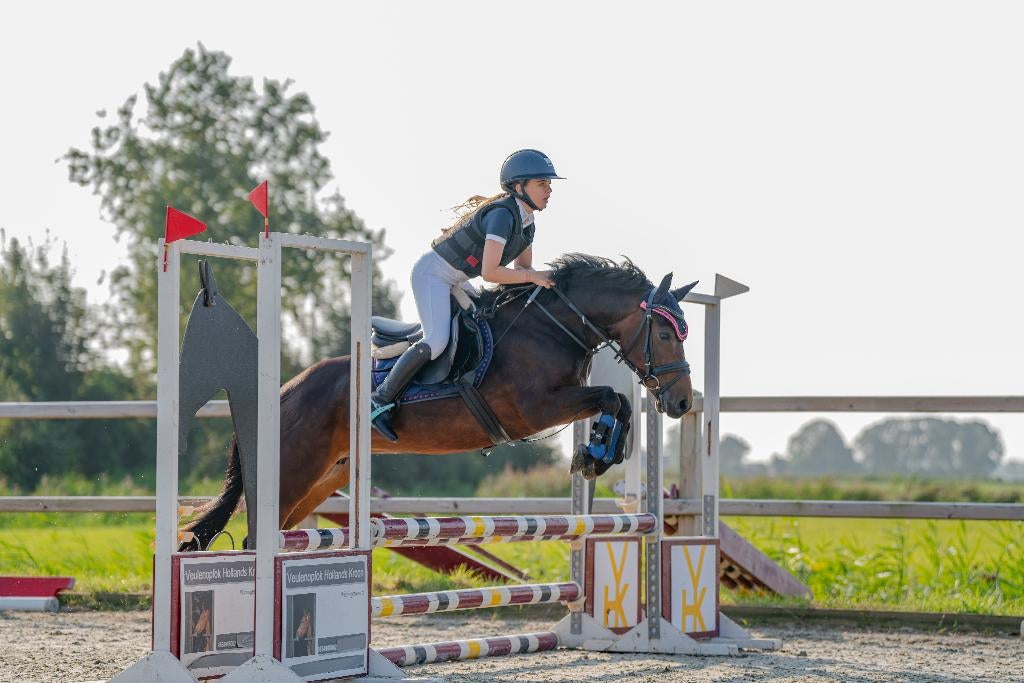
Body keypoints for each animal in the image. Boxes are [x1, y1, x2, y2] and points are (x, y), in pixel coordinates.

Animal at [181, 253, 696, 550]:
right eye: (665, 334)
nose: (682, 404)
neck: (553, 327)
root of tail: (284, 392)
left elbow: (618, 403)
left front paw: (596, 454)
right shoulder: (535, 409)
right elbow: (613, 396)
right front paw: (595, 455)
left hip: (324, 477)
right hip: (291, 472)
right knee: (257, 536)